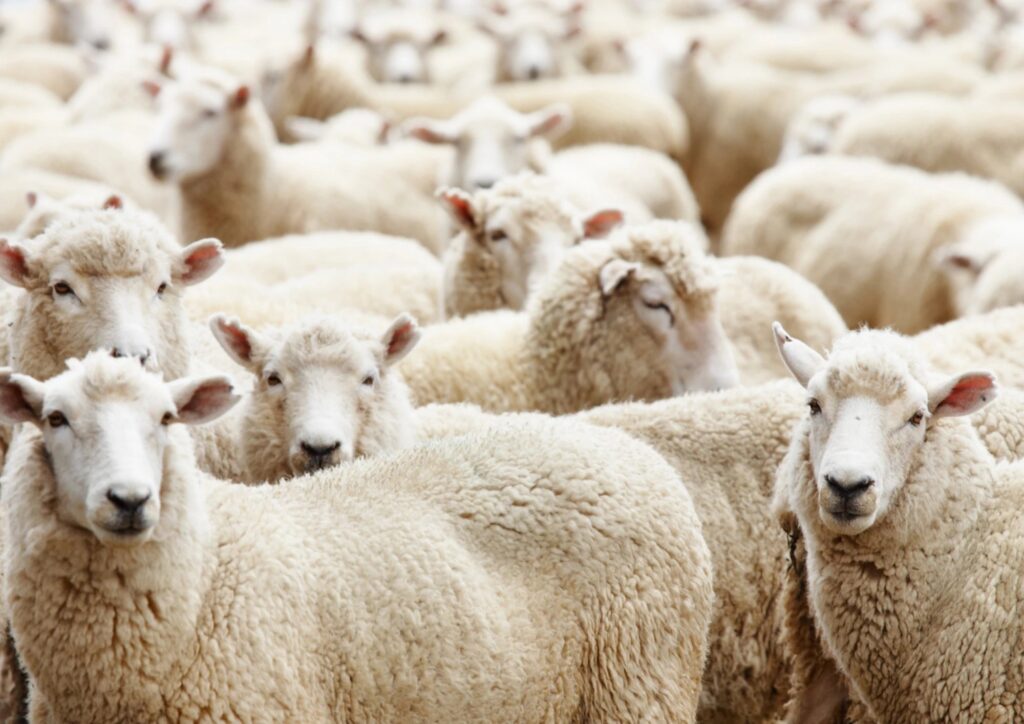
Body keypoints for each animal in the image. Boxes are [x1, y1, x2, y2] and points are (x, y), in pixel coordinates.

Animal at [0, 351, 714, 722]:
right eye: (55, 418)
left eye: (167, 417)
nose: (129, 500)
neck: (204, 581)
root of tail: (627, 449)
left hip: (640, 686)